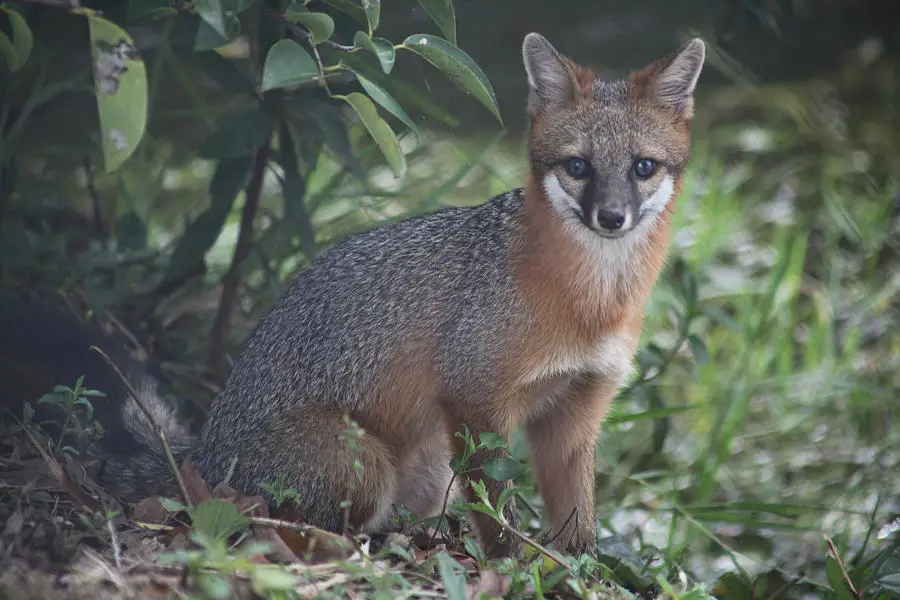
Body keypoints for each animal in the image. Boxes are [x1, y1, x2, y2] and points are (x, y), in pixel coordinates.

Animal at [1, 32, 704, 556]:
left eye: (642, 167)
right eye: (578, 167)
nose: (611, 217)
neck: (590, 301)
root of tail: (206, 451)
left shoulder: (576, 413)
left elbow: (578, 523)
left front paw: (582, 573)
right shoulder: (475, 401)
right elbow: (499, 520)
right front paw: (515, 566)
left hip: (428, 466)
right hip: (366, 464)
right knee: (289, 522)